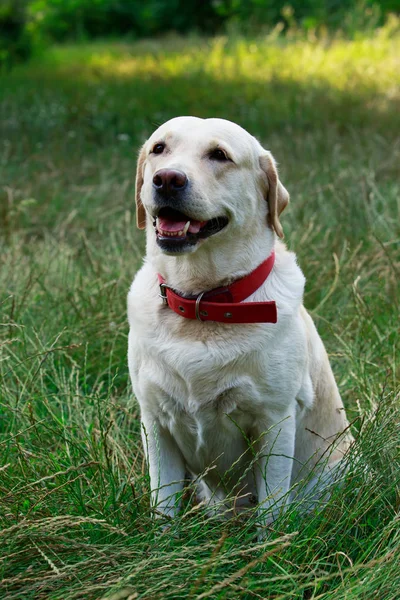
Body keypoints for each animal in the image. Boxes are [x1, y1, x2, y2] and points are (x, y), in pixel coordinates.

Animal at [126, 116, 352, 528]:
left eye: (220, 155)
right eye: (159, 149)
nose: (167, 179)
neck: (203, 303)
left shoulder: (274, 421)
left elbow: (272, 508)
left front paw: (271, 545)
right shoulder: (155, 423)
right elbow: (163, 506)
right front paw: (161, 540)